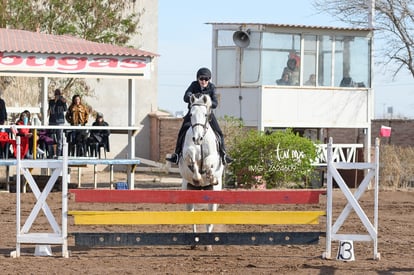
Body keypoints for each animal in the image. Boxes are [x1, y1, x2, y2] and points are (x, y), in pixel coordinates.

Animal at [178, 94, 223, 249]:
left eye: (205, 115)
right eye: (191, 114)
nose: (197, 139)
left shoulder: (214, 157)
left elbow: (209, 162)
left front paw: (210, 175)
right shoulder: (187, 152)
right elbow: (191, 157)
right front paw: (197, 177)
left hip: (213, 194)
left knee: (210, 217)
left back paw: (208, 245)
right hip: (188, 192)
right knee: (192, 216)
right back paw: (195, 242)